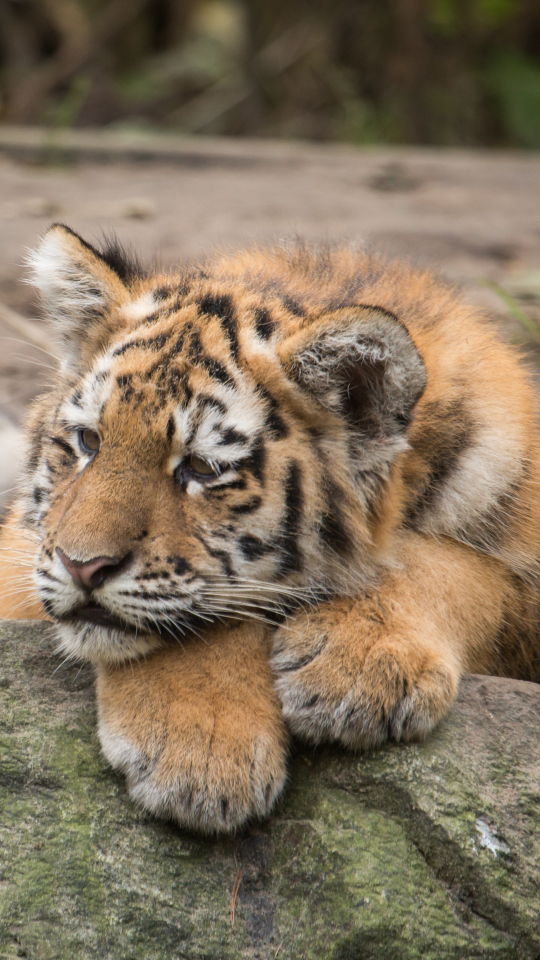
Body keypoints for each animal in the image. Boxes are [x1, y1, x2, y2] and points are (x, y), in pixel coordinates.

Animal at [1, 223, 540, 832]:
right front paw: (201, 750)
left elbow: (459, 569)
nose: (82, 567)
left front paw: (357, 663)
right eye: (89, 442)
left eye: (201, 469)